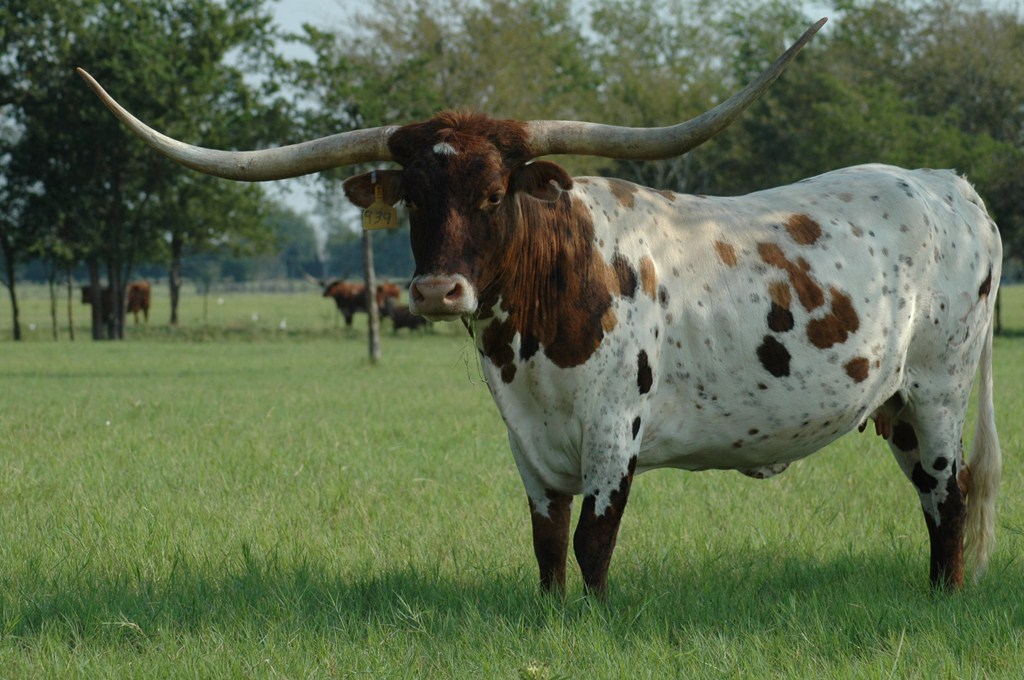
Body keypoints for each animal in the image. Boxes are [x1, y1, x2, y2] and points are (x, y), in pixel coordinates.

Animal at [78, 17, 1003, 596]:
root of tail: (949, 184)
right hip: (895, 407)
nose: (435, 291)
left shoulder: (613, 433)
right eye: (414, 200)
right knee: (935, 499)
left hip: (939, 391)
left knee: (950, 501)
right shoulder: (527, 442)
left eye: (494, 194)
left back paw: (943, 600)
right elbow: (547, 543)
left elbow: (594, 543)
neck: (539, 323)